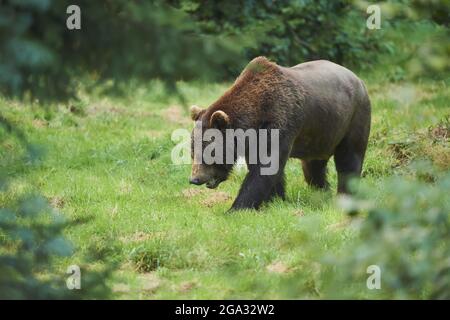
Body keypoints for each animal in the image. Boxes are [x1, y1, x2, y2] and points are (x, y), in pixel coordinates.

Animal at [188, 57, 370, 211]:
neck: (255, 116)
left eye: (209, 151)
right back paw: (322, 192)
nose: (195, 179)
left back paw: (345, 197)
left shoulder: (280, 121)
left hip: (353, 117)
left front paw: (236, 208)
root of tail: (358, 79)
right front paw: (275, 200)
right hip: (320, 133)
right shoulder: (255, 139)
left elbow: (265, 168)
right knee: (313, 167)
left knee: (349, 158)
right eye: (192, 151)